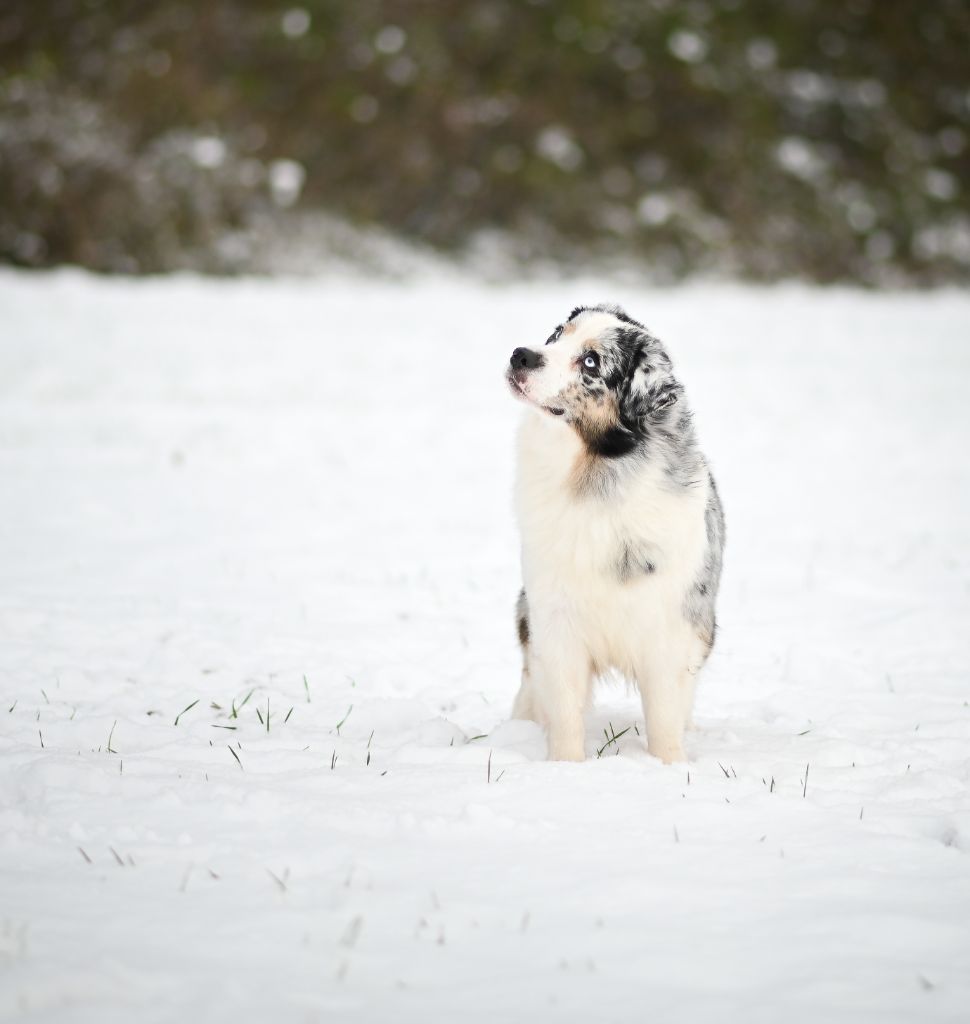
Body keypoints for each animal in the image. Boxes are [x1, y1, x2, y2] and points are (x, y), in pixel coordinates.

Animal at [508, 303, 721, 761]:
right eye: (557, 334)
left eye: (591, 362)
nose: (520, 355)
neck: (594, 477)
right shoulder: (554, 619)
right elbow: (565, 711)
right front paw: (563, 766)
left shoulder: (668, 626)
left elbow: (664, 716)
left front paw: (669, 765)